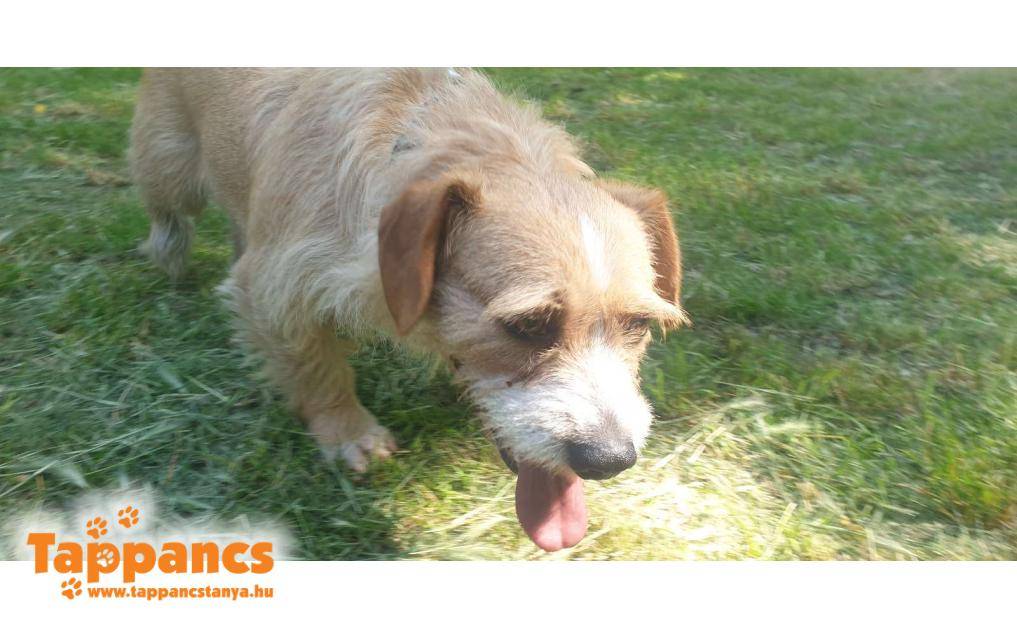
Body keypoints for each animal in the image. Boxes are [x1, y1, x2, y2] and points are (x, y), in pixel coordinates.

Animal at [130, 68, 688, 552]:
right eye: (528, 325)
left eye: (638, 325)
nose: (611, 460)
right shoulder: (275, 287)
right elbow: (317, 369)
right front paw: (349, 432)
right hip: (169, 161)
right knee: (168, 213)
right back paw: (168, 258)